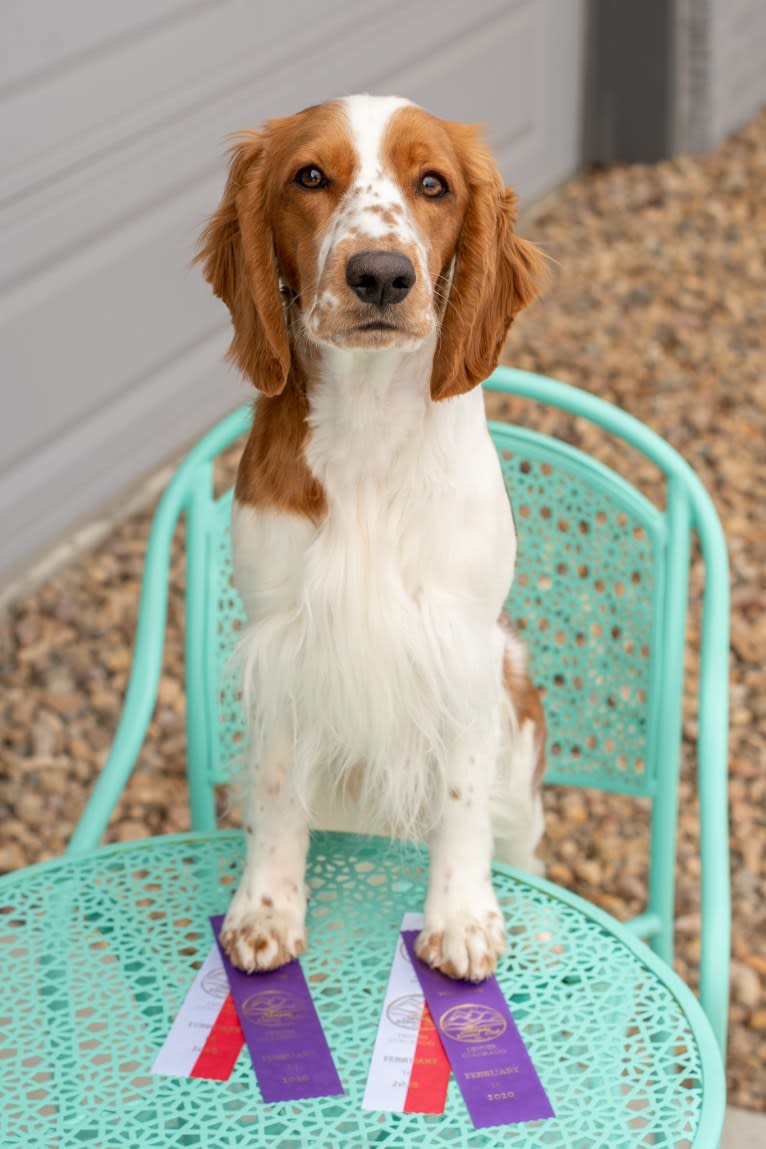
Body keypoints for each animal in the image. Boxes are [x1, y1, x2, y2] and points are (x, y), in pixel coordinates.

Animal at [197, 94, 544, 983]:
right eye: (310, 176)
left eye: (434, 184)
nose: (382, 274)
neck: (367, 422)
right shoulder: (282, 639)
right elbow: (276, 789)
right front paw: (266, 909)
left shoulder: (462, 644)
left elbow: (459, 796)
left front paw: (461, 918)